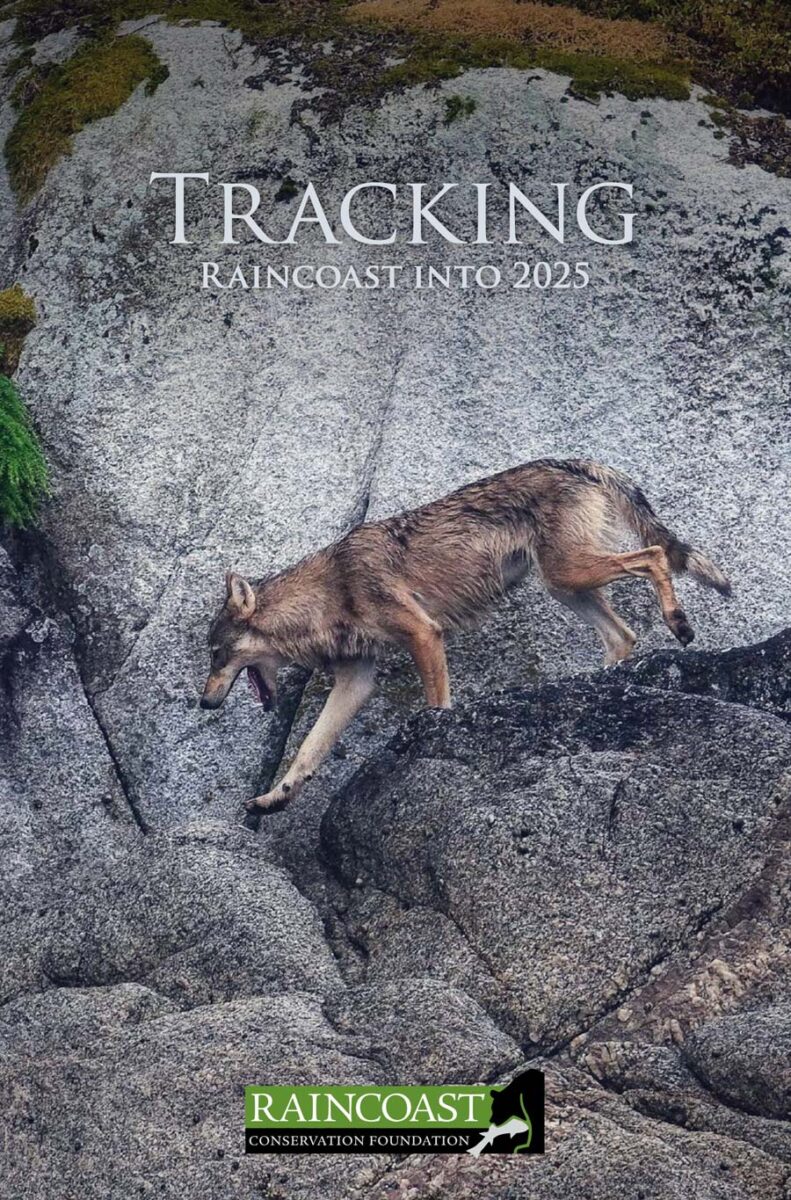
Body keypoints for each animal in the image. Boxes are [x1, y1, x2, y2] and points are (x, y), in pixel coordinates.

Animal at [200, 459, 730, 813]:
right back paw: (605, 681)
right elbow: (308, 749)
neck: (330, 589)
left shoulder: (423, 634)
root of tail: (578, 461)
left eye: (216, 654)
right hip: (565, 585)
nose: (204, 703)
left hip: (571, 573)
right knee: (623, 635)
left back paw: (679, 624)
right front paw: (274, 796)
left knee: (655, 556)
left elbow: (437, 703)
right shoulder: (356, 680)